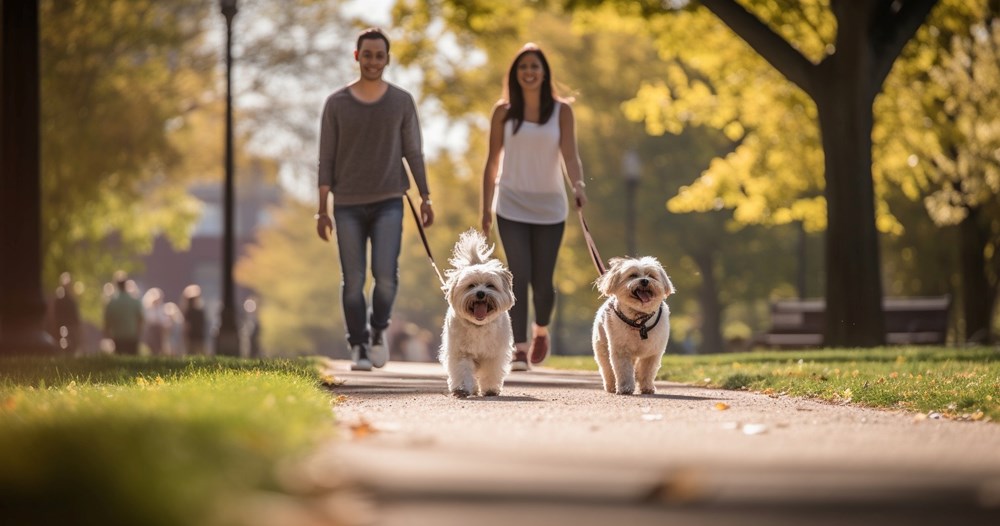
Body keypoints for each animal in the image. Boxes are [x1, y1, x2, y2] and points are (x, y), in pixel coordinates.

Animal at [440, 229, 516, 398]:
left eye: (490, 285)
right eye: (471, 286)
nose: (480, 293)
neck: (479, 325)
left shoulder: (493, 354)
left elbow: (491, 371)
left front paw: (490, 389)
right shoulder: (461, 353)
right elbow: (462, 371)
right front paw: (461, 389)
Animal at [588, 256, 676, 396]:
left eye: (651, 275)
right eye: (633, 275)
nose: (645, 281)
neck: (640, 321)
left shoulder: (652, 353)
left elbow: (647, 371)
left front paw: (647, 387)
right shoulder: (621, 350)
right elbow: (623, 370)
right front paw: (626, 388)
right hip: (601, 347)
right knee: (607, 368)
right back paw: (611, 386)